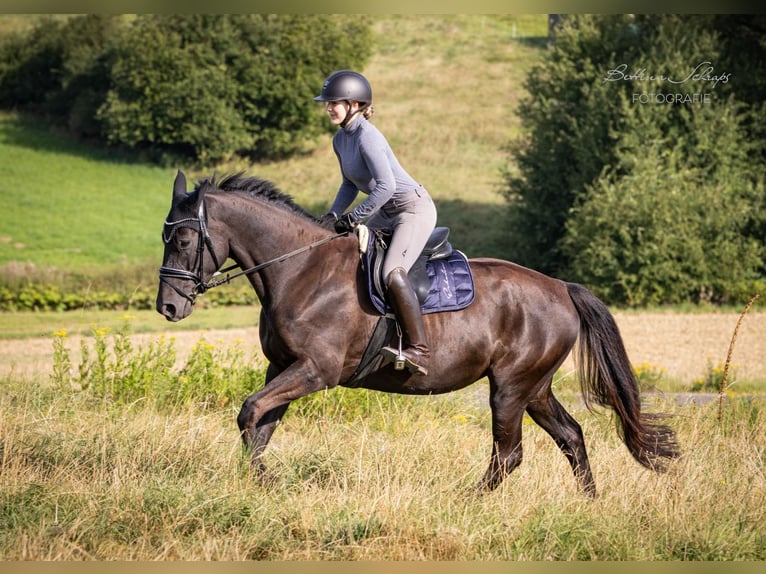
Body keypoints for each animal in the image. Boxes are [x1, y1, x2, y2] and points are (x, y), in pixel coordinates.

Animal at [158, 170, 684, 496]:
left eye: (182, 239)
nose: (168, 306)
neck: (298, 270)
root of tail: (561, 288)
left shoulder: (315, 371)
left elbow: (250, 413)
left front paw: (265, 483)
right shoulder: (284, 367)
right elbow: (259, 425)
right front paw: (259, 483)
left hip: (510, 387)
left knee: (508, 454)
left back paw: (467, 503)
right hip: (535, 388)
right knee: (571, 436)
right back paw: (590, 503)